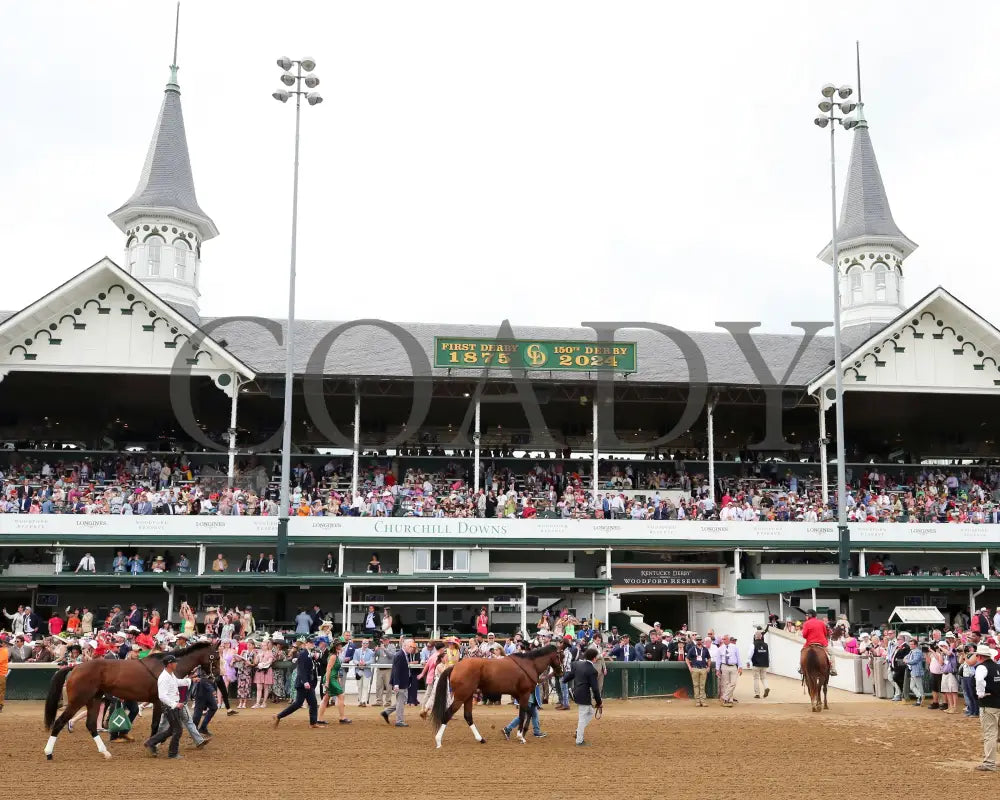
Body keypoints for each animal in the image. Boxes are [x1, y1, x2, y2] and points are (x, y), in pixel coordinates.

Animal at [43, 640, 221, 760]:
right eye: (216, 657)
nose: (217, 676)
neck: (165, 668)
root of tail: (76, 666)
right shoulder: (158, 701)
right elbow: (156, 725)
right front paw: (153, 746)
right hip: (78, 701)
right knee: (59, 722)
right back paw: (49, 753)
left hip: (94, 699)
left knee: (91, 725)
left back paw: (105, 752)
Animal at [432, 644, 564, 752]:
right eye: (561, 656)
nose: (561, 672)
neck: (529, 664)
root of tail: (455, 667)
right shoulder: (524, 694)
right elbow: (523, 714)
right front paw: (521, 736)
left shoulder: (519, 696)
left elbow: (529, 712)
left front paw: (521, 733)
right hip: (460, 697)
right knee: (448, 714)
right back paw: (438, 741)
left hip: (468, 696)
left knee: (468, 716)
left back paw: (481, 739)